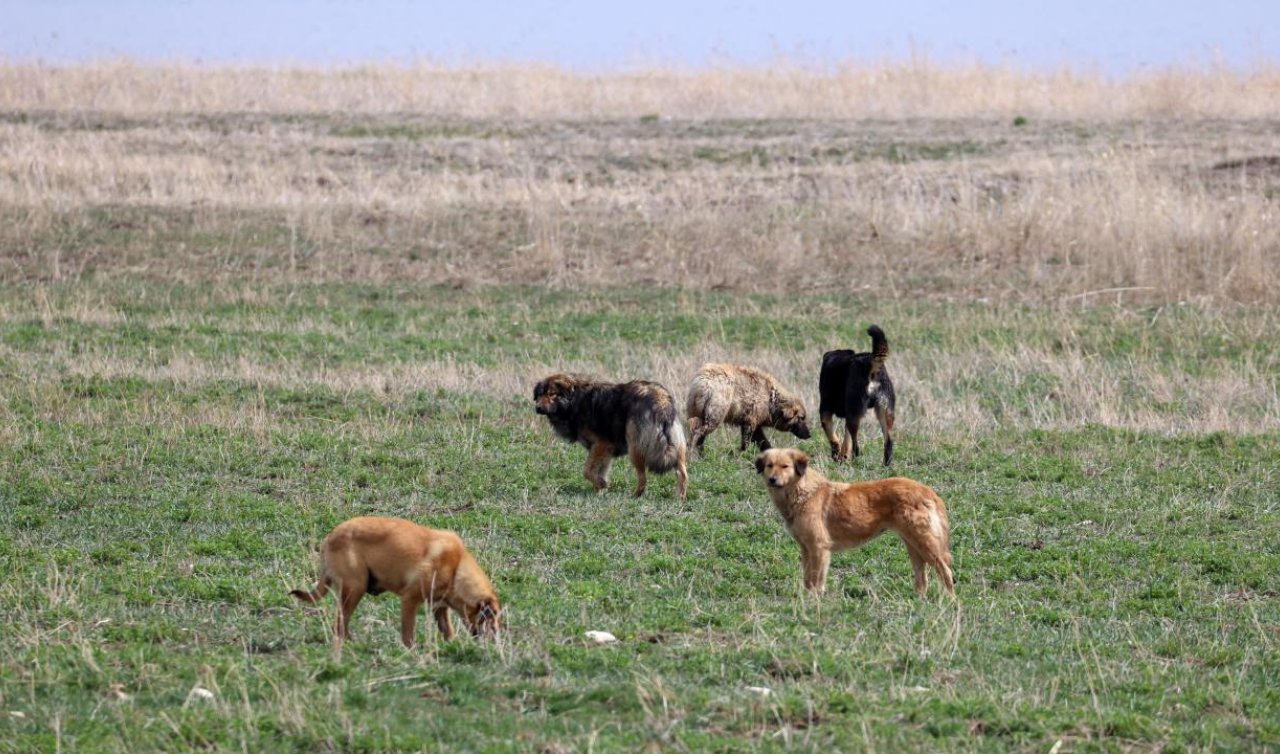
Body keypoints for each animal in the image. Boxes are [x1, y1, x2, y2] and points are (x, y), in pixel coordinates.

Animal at [291, 517, 499, 647]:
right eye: (491, 618)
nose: (496, 641)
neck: (456, 568)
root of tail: (329, 538)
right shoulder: (409, 599)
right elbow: (408, 632)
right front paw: (411, 651)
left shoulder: (439, 606)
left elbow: (447, 630)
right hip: (355, 588)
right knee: (339, 625)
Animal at [532, 371, 691, 499]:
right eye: (540, 395)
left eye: (552, 394)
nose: (538, 408)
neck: (575, 400)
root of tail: (661, 399)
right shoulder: (604, 450)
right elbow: (598, 471)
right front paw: (599, 491)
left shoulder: (602, 444)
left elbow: (587, 471)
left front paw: (601, 485)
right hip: (677, 447)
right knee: (682, 473)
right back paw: (680, 498)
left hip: (635, 448)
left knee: (643, 477)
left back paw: (635, 495)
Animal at [752, 442, 957, 596]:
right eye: (769, 465)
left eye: (785, 466)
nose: (772, 480)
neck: (802, 491)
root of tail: (927, 491)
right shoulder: (806, 548)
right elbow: (807, 578)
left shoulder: (819, 547)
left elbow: (817, 579)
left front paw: (815, 601)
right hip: (913, 545)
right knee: (922, 578)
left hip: (925, 544)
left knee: (945, 571)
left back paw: (949, 600)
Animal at [819, 323, 901, 463]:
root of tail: (871, 363)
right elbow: (845, 441)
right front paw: (842, 457)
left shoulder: (825, 411)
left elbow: (833, 437)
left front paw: (836, 454)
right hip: (884, 411)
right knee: (888, 442)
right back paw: (886, 464)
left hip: (855, 410)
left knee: (856, 444)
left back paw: (856, 459)